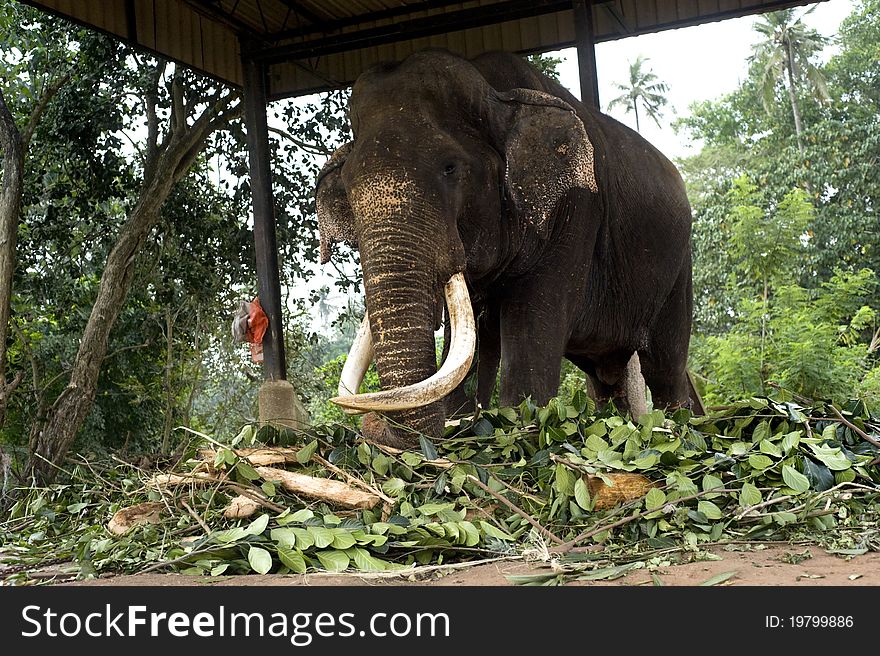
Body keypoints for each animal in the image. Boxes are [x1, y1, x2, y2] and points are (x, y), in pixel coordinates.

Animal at [316, 48, 700, 448]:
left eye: (450, 168)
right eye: (346, 186)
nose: (372, 425)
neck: (496, 94)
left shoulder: (575, 209)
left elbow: (531, 327)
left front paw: (522, 422)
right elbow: (471, 341)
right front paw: (462, 418)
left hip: (679, 268)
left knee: (665, 365)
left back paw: (682, 430)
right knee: (605, 378)